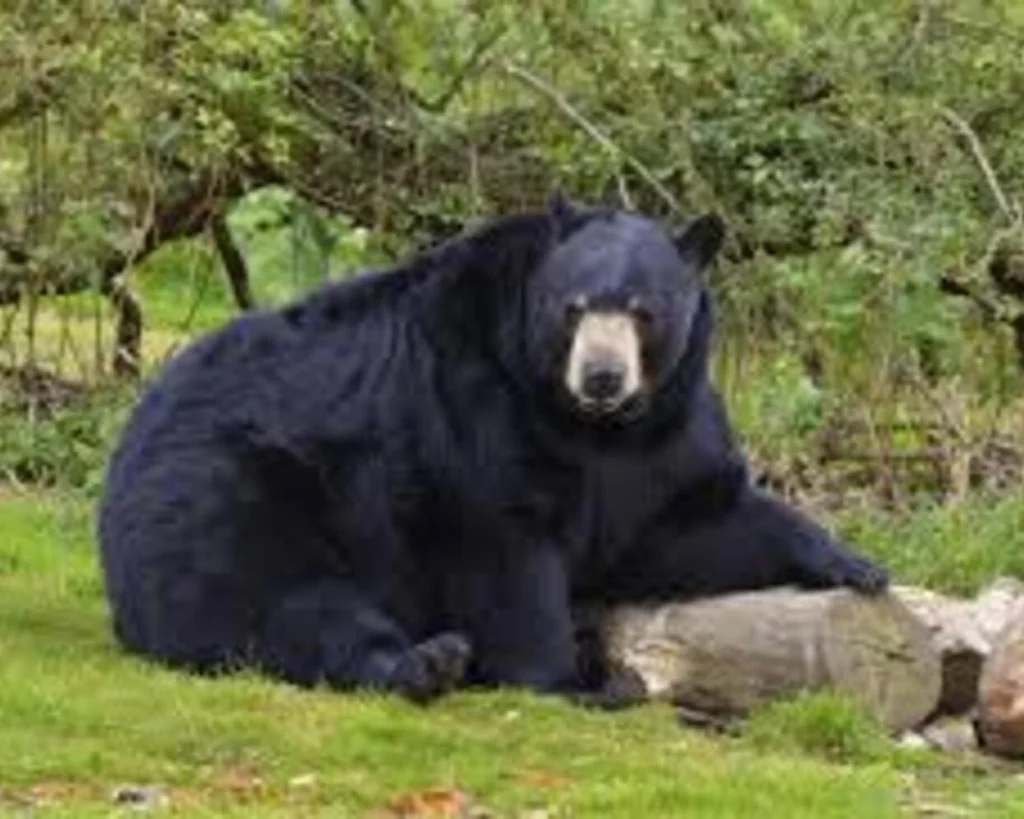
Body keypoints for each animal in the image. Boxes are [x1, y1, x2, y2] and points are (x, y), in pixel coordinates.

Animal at [97, 195, 888, 705]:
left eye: (644, 310)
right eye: (574, 306)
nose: (602, 377)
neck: (588, 425)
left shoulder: (664, 435)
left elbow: (680, 527)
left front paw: (853, 563)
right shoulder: (473, 405)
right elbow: (506, 548)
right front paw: (575, 679)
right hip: (232, 487)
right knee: (279, 596)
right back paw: (426, 661)